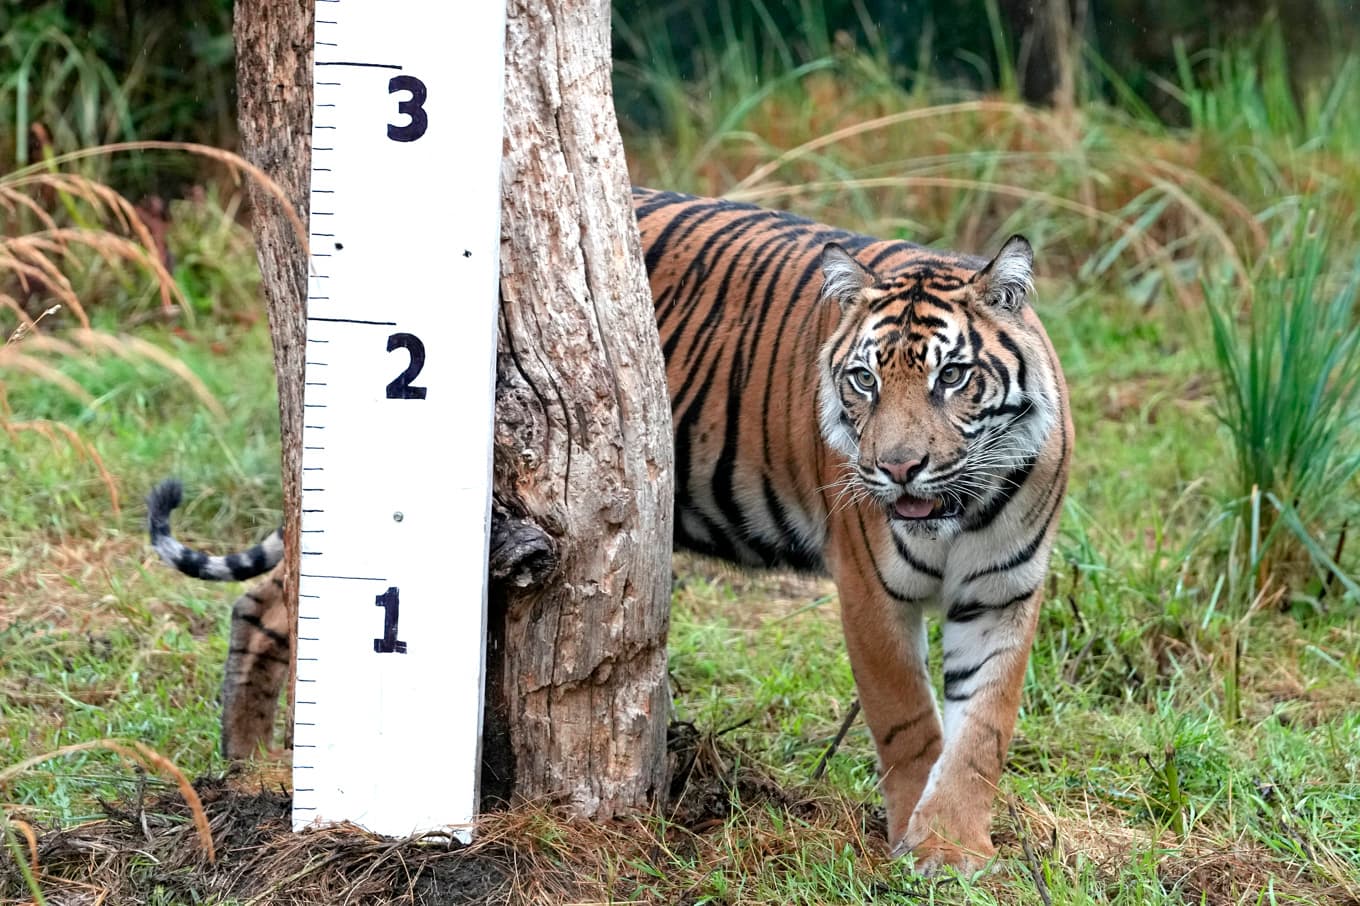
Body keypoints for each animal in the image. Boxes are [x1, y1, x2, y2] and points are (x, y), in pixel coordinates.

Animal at [148, 186, 1072, 874]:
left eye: (953, 377)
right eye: (863, 382)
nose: (898, 468)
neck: (962, 508)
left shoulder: (1006, 590)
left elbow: (983, 726)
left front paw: (957, 847)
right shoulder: (871, 590)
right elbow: (909, 720)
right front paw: (922, 844)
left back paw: (247, 760)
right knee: (282, 595)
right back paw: (252, 766)